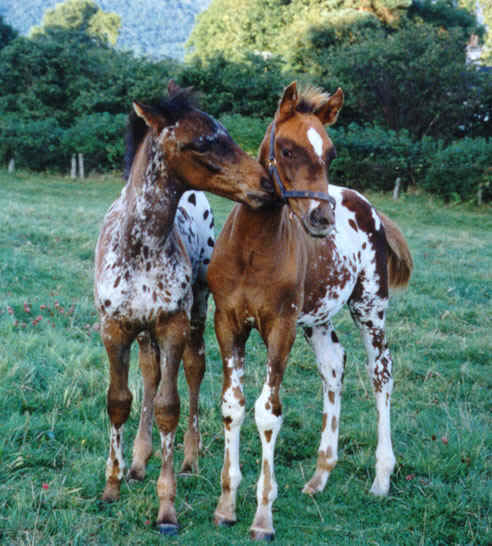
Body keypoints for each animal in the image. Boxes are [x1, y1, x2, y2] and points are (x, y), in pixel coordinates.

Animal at [94, 81, 274, 532]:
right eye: (203, 142)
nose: (266, 183)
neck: (141, 247)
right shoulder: (114, 328)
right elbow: (120, 400)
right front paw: (112, 486)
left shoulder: (172, 324)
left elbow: (168, 407)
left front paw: (167, 509)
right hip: (143, 333)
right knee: (149, 372)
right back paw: (138, 461)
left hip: (195, 313)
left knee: (193, 369)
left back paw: (189, 459)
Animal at [208, 82, 412, 540]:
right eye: (286, 149)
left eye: (331, 154)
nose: (321, 218)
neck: (252, 250)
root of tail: (369, 206)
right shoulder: (227, 322)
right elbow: (233, 405)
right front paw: (226, 505)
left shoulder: (279, 326)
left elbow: (268, 412)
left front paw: (263, 517)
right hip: (318, 318)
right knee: (333, 366)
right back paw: (321, 475)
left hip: (370, 308)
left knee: (381, 374)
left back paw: (381, 478)